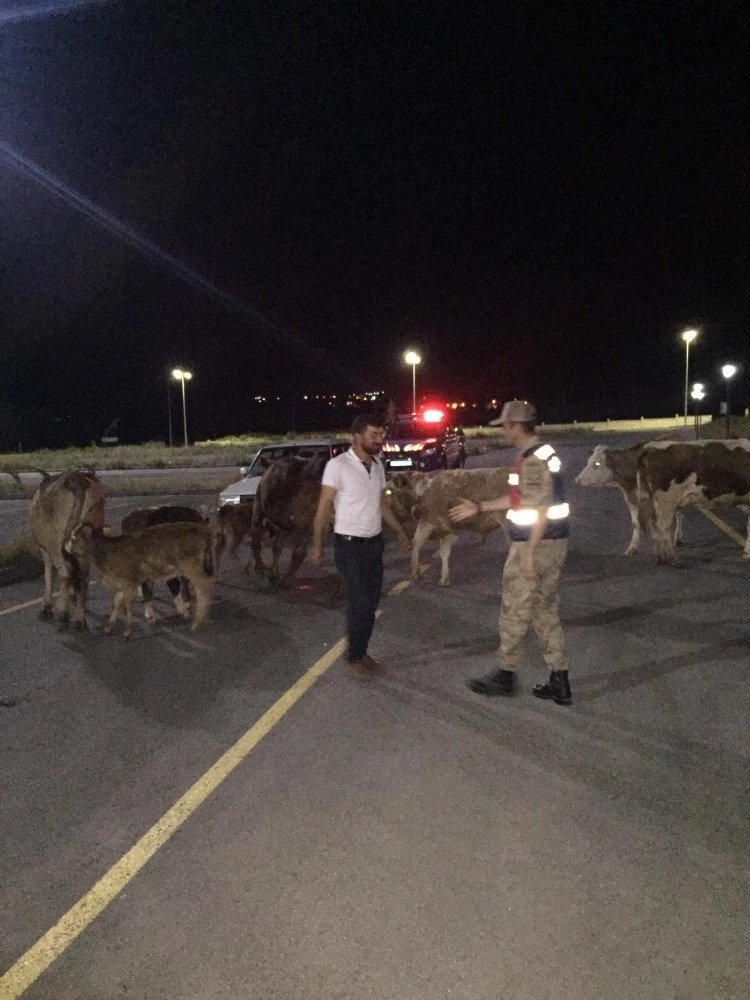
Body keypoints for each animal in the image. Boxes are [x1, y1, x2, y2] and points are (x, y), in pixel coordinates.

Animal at [28, 468, 106, 624]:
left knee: (64, 574)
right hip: (85, 538)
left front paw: (47, 608)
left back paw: (64, 612)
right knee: (83, 577)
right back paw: (79, 619)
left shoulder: (44, 546)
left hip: (55, 542)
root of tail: (76, 479)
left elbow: (48, 572)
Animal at [65, 520, 219, 636]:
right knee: (204, 586)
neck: (104, 553)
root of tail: (204, 530)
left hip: (191, 566)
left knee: (205, 585)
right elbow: (116, 603)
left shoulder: (129, 582)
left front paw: (127, 631)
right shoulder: (121, 583)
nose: (65, 548)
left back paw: (198, 622)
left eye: (73, 537)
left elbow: (127, 605)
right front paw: (109, 627)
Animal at [384, 468, 516, 584]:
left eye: (388, 491)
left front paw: (417, 574)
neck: (419, 490)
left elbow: (418, 544)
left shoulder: (430, 523)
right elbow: (441, 551)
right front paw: (442, 576)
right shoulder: (446, 528)